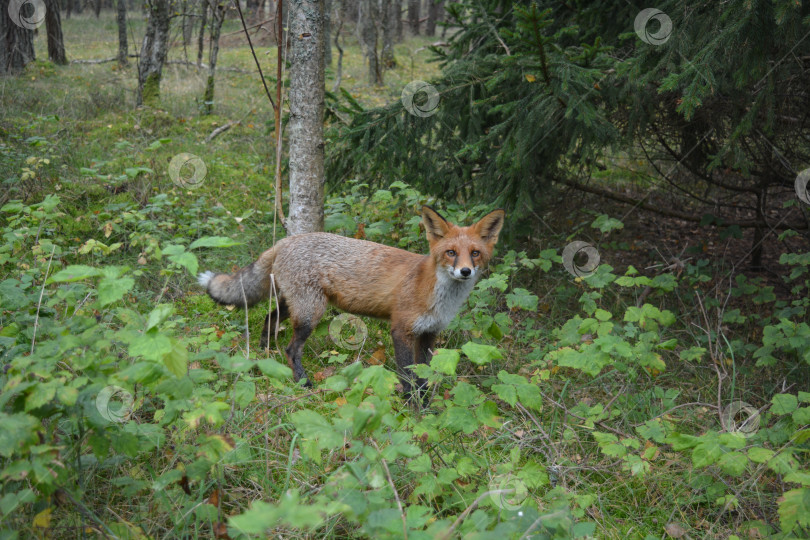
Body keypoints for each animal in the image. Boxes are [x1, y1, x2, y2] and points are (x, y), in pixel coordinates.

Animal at [199, 207, 502, 400]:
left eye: (475, 253)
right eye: (451, 253)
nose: (465, 271)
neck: (437, 295)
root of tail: (286, 240)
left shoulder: (429, 333)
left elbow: (424, 375)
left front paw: (425, 405)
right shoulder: (401, 329)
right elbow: (407, 376)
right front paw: (411, 406)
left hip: (295, 304)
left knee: (269, 318)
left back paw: (264, 352)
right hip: (311, 313)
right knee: (291, 349)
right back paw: (303, 383)